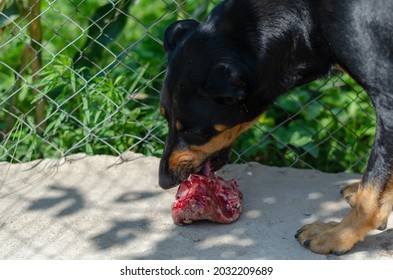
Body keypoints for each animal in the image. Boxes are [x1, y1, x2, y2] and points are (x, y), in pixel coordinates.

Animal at [158, 0, 392, 255]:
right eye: (164, 117)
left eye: (192, 131)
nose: (163, 182)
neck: (308, 16)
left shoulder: (387, 100)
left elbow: (371, 190)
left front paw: (337, 235)